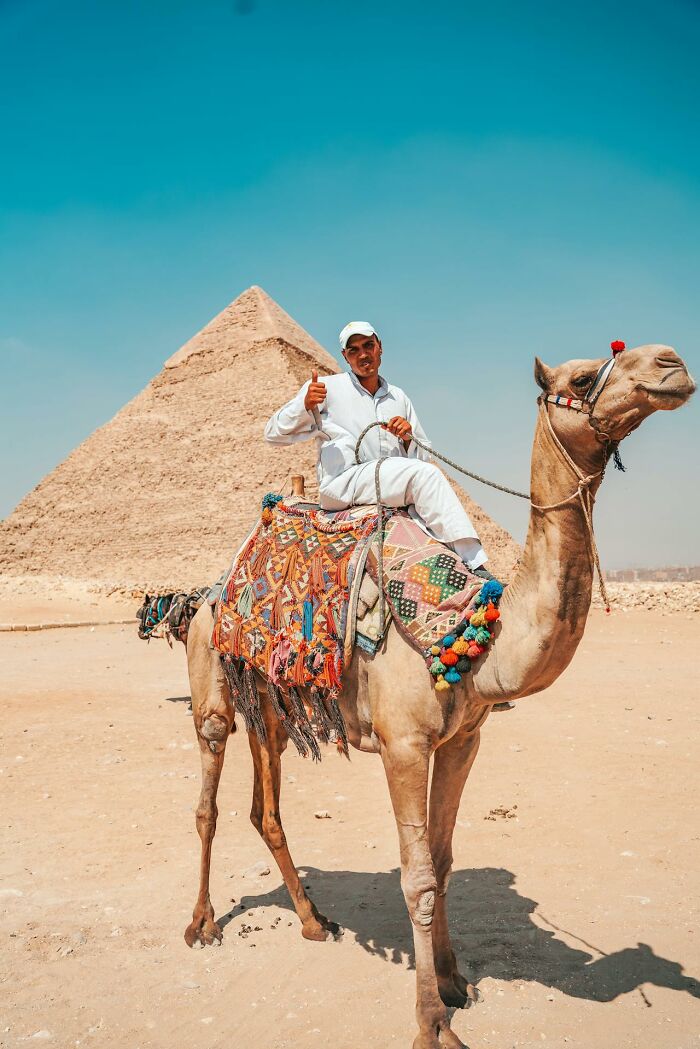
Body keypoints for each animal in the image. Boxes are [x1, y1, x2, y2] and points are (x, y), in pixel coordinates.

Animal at [182, 344, 694, 1049]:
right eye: (583, 376)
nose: (671, 364)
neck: (472, 643)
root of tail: (211, 590)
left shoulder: (462, 741)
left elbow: (446, 860)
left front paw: (455, 982)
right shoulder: (403, 744)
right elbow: (418, 876)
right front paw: (432, 1022)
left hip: (274, 707)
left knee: (267, 809)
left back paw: (314, 921)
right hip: (211, 687)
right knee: (208, 798)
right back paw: (201, 924)